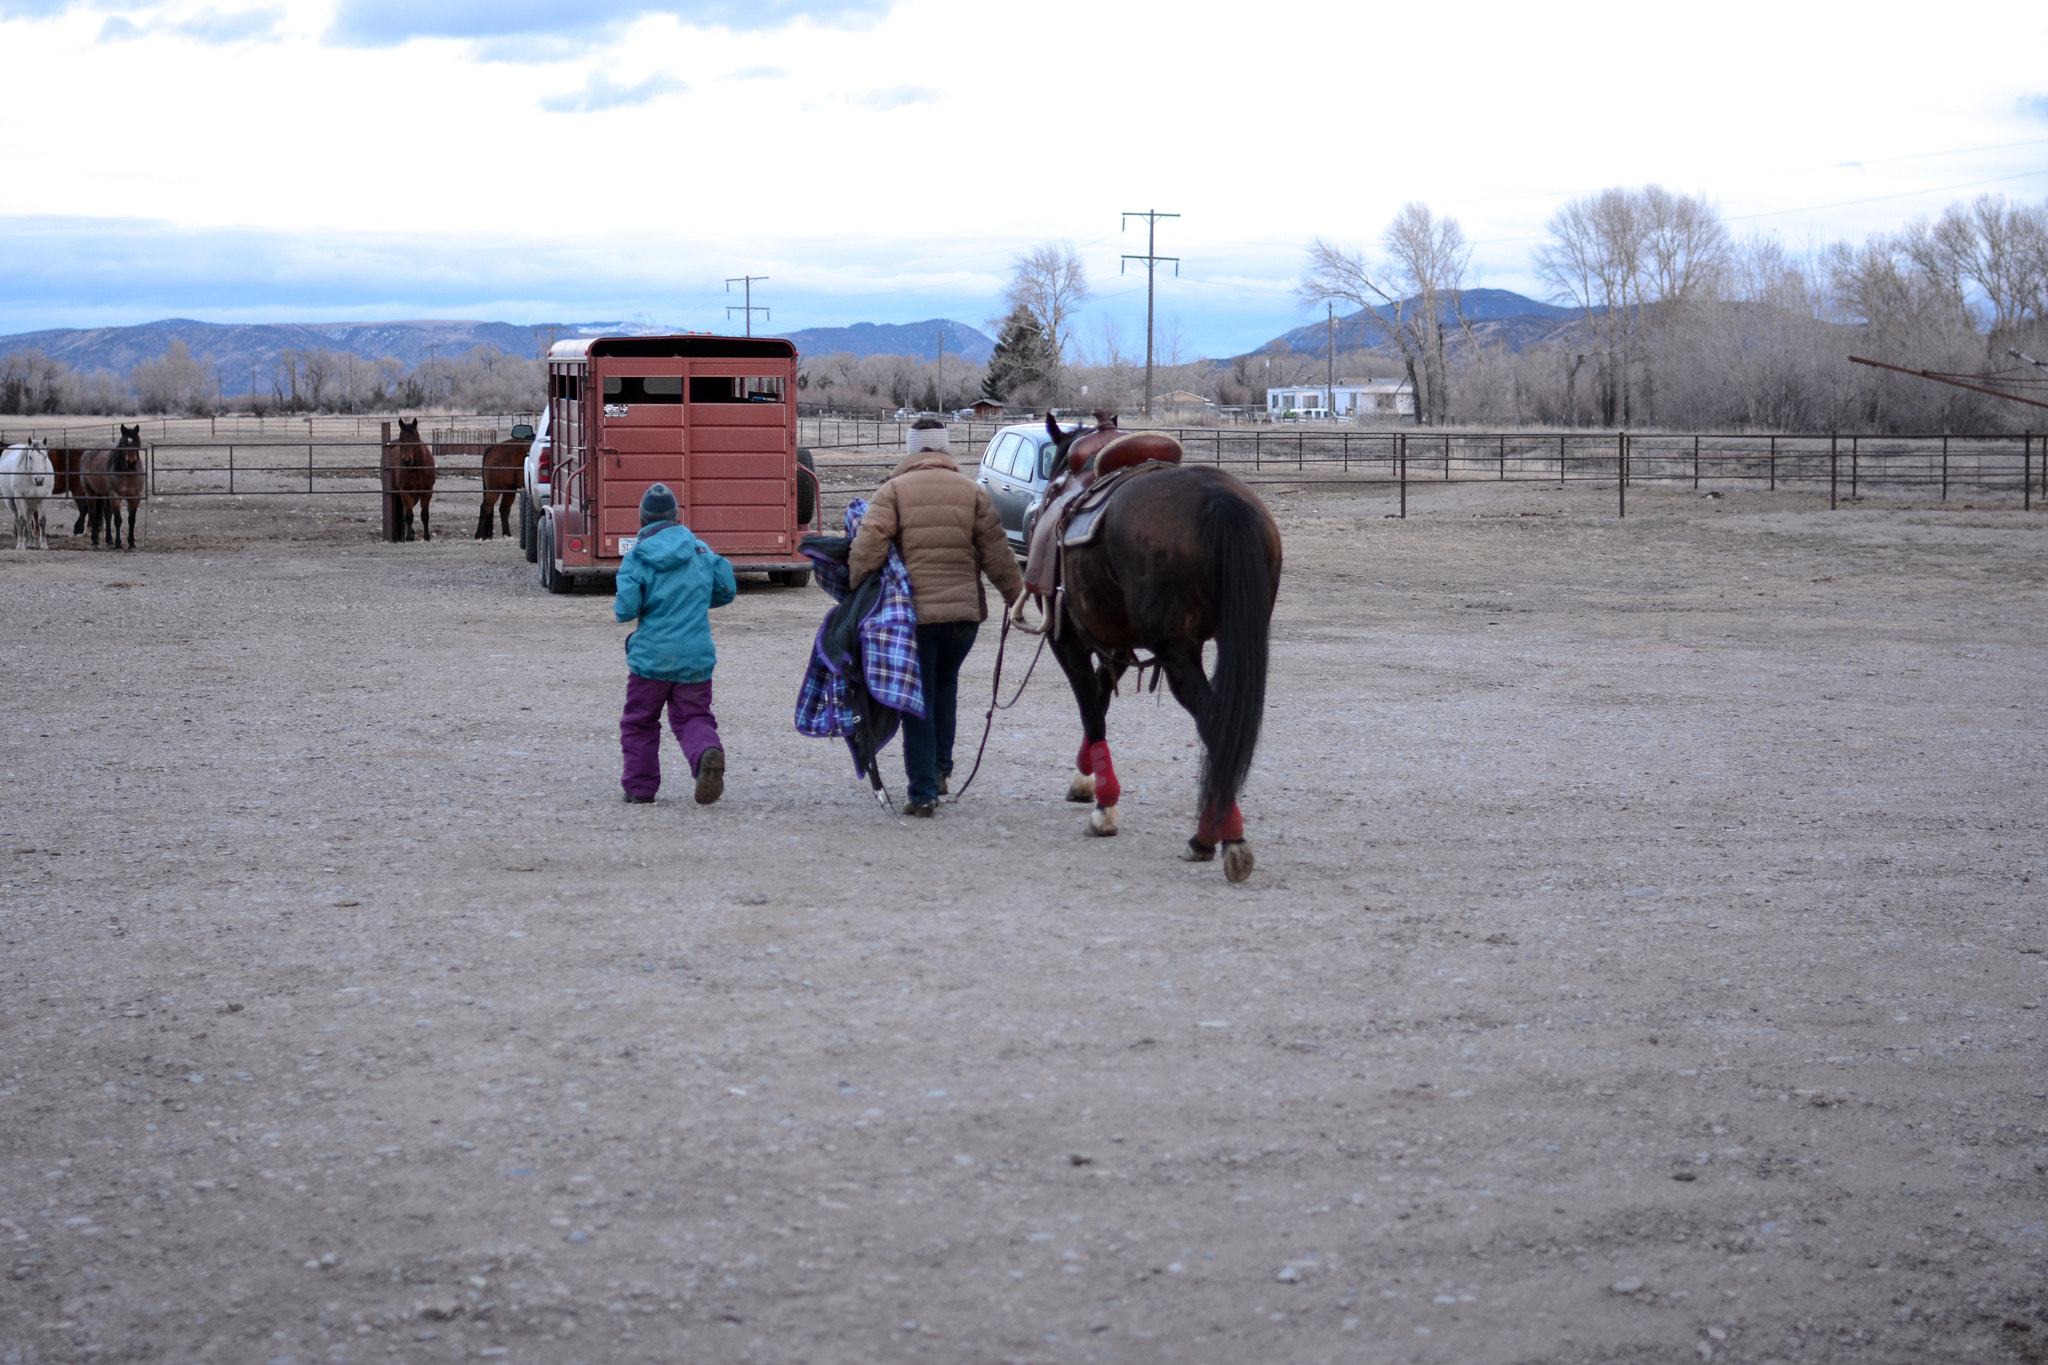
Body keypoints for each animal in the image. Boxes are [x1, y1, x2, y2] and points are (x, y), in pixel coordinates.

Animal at [1024, 411, 1277, 879]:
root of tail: (1216, 499)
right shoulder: (1116, 641)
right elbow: (1101, 696)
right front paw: (1086, 778)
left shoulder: (1066, 638)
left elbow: (1091, 707)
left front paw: (1104, 807)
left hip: (1176, 649)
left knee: (1213, 719)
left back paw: (1216, 837)